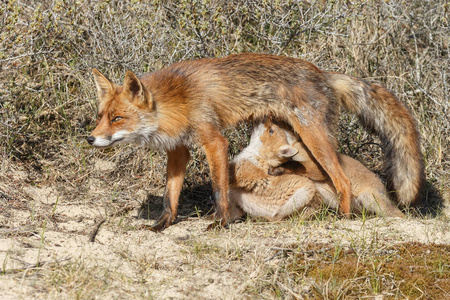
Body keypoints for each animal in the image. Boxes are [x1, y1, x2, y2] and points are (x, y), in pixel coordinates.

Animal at [229, 120, 404, 221]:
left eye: (271, 130)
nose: (261, 118)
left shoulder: (315, 167)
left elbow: (293, 166)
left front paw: (277, 169)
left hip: (369, 198)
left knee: (397, 214)